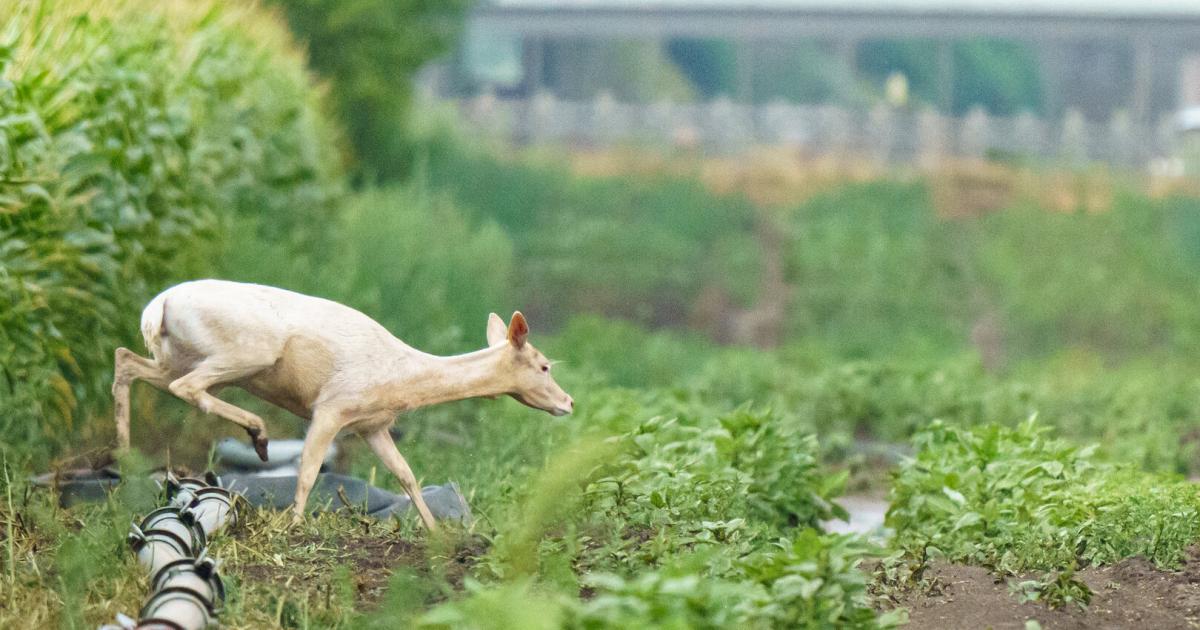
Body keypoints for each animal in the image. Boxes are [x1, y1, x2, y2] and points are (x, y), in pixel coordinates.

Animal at [111, 279, 574, 530]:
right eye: (544, 365)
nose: (569, 402)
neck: (401, 378)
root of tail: (156, 308)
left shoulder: (372, 423)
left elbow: (406, 475)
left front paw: (436, 532)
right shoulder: (333, 406)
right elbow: (308, 469)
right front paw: (294, 524)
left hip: (178, 355)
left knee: (126, 360)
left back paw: (123, 462)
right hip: (244, 353)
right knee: (186, 387)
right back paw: (258, 434)